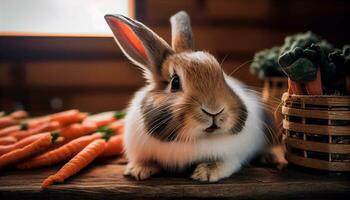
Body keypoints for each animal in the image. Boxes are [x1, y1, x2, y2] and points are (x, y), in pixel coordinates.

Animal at [103, 11, 284, 183]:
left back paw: (269, 158)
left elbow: (223, 163)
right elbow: (145, 160)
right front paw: (138, 171)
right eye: (175, 82)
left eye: (222, 76)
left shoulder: (231, 157)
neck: (190, 139)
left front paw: (206, 173)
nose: (214, 110)